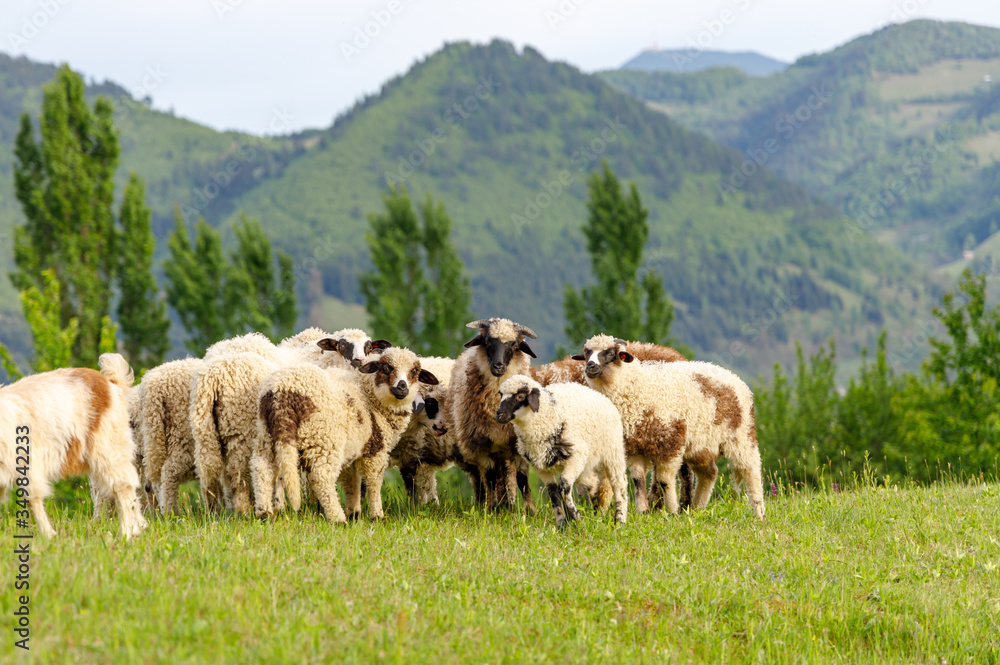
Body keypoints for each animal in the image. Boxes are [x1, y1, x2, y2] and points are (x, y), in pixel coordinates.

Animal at [0, 354, 147, 539]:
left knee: (123, 486)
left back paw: (127, 534)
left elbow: (33, 497)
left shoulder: (27, 461)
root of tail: (111, 382)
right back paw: (137, 528)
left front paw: (49, 535)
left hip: (109, 446)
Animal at [255, 346, 438, 522]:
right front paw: (377, 516)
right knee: (321, 478)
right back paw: (337, 518)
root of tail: (283, 391)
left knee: (262, 470)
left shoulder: (352, 451)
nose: (402, 387)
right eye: (386, 367)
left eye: (415, 372)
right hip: (324, 439)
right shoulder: (376, 450)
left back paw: (264, 514)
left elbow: (352, 483)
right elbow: (374, 482)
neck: (370, 397)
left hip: (267, 436)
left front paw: (355, 514)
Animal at [449, 317, 539, 511]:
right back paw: (484, 504)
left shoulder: (517, 444)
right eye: (488, 341)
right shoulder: (481, 446)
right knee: (479, 480)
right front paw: (490, 509)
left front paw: (529, 510)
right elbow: (489, 478)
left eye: (514, 344)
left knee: (507, 476)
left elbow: (522, 479)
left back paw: (509, 504)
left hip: (504, 452)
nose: (498, 366)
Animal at [497, 375, 628, 528]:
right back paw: (598, 514)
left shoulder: (575, 457)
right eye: (501, 394)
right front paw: (562, 525)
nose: (499, 415)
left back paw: (620, 521)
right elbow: (554, 493)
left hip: (612, 449)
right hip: (586, 462)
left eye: (520, 396)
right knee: (593, 481)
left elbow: (564, 487)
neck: (548, 417)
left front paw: (575, 518)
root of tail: (600, 395)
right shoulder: (542, 467)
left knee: (619, 483)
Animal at [574, 335, 765, 519]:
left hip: (742, 436)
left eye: (611, 353)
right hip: (701, 446)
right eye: (586, 353)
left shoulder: (670, 443)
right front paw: (642, 512)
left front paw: (672, 511)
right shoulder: (633, 447)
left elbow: (664, 480)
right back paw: (697, 509)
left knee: (751, 470)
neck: (636, 389)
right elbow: (638, 479)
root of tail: (732, 376)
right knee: (709, 474)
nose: (590, 366)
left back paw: (759, 513)